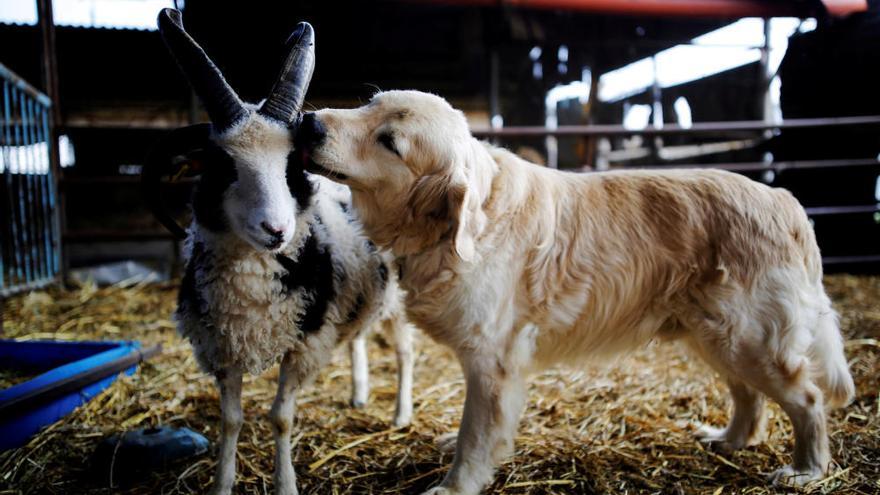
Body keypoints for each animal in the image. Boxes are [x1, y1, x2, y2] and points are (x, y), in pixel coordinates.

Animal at [294, 91, 852, 494]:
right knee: (750, 398)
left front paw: (455, 485)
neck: (456, 226)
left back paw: (807, 470)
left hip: (748, 338)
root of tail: (784, 199)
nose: (308, 122)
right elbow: (475, 428)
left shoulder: (493, 360)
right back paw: (729, 440)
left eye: (389, 141)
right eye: (369, 103)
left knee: (807, 398)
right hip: (715, 335)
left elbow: (477, 436)